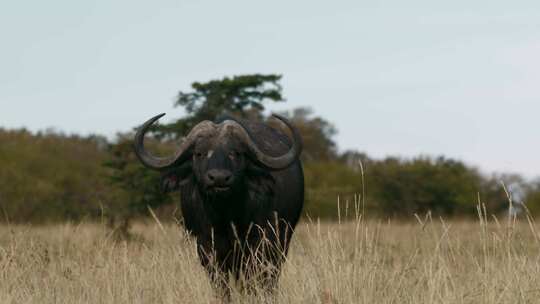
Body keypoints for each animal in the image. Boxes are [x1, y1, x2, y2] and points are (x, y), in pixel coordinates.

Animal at [133, 113, 304, 294]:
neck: (224, 217)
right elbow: (221, 286)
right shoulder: (207, 249)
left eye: (235, 153)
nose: (219, 178)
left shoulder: (261, 246)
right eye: (199, 153)